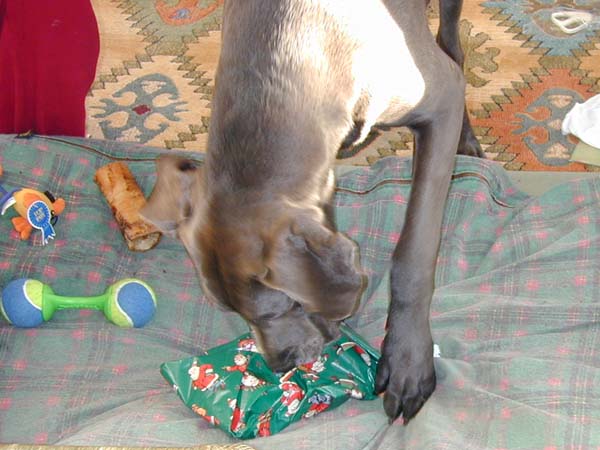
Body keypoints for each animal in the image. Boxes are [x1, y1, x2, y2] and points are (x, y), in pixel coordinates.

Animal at [141, 0, 483, 423]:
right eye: (233, 313)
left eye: (285, 306)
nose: (280, 366)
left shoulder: (440, 102)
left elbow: (413, 253)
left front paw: (407, 358)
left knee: (453, 43)